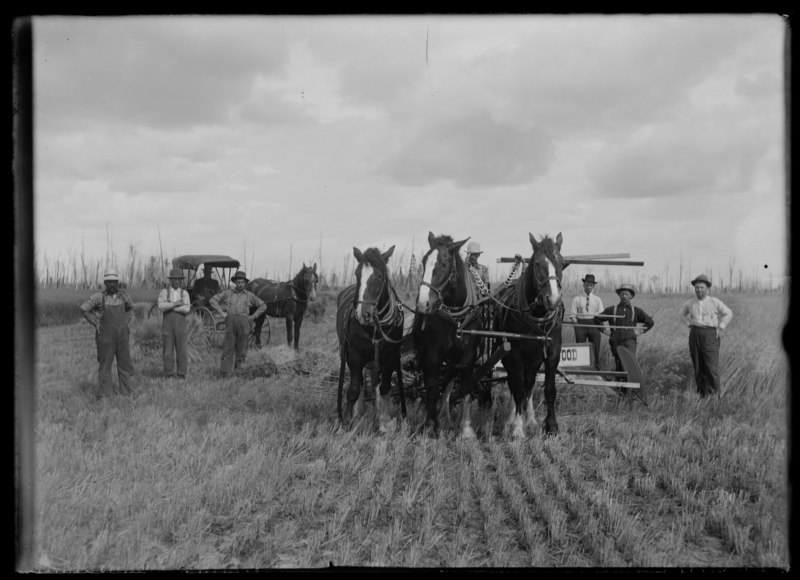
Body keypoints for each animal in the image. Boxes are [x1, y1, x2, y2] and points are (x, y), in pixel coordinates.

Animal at [336, 245, 406, 430]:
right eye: (357, 273)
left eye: (379, 276)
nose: (363, 314)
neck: (375, 327)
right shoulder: (354, 356)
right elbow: (353, 390)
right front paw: (347, 422)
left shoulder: (389, 358)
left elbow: (384, 388)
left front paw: (383, 422)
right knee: (359, 382)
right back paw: (358, 413)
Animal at [412, 231, 488, 440]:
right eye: (424, 260)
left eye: (444, 264)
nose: (423, 304)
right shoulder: (432, 355)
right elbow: (432, 388)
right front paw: (430, 426)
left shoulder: (468, 356)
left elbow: (465, 389)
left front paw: (466, 430)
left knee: (448, 382)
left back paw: (445, 417)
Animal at [494, 233, 564, 438]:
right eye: (538, 263)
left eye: (562, 263)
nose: (553, 300)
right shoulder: (514, 354)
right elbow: (517, 388)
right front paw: (517, 428)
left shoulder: (552, 352)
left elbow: (548, 389)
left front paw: (551, 426)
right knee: (514, 382)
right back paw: (511, 420)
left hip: (534, 358)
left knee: (530, 382)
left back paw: (530, 419)